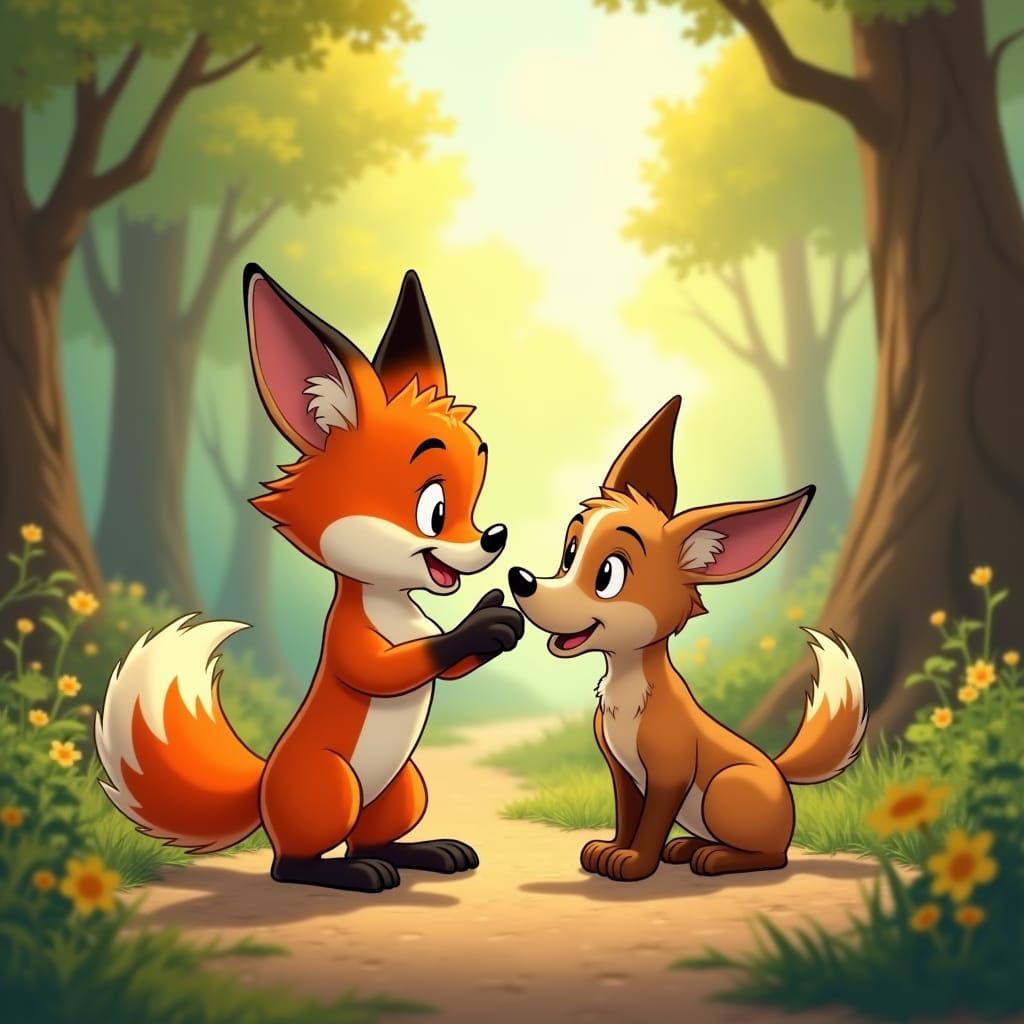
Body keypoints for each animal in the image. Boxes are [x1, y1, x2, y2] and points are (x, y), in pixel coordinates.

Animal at [95, 265, 525, 892]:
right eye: (434, 509)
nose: (494, 538)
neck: (395, 607)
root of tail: (264, 786)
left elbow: (445, 666)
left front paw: (497, 617)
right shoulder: (348, 640)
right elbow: (387, 669)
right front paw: (478, 625)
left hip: (405, 787)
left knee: (371, 838)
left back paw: (424, 853)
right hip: (332, 785)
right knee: (292, 864)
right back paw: (355, 874)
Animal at [506, 396, 867, 881]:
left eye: (608, 575)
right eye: (569, 554)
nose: (521, 580)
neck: (627, 689)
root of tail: (778, 771)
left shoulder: (669, 774)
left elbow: (650, 823)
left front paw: (634, 863)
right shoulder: (622, 770)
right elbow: (628, 816)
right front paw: (609, 851)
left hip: (725, 789)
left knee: (774, 855)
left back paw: (715, 858)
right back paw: (686, 848)